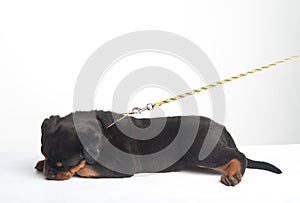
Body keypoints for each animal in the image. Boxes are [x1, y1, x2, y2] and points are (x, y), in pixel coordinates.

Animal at [35, 110, 282, 186]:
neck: (103, 130)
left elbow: (86, 169)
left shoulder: (122, 164)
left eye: (65, 164)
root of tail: (223, 130)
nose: (50, 173)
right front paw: (40, 163)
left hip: (203, 152)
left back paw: (233, 174)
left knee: (240, 155)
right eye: (45, 153)